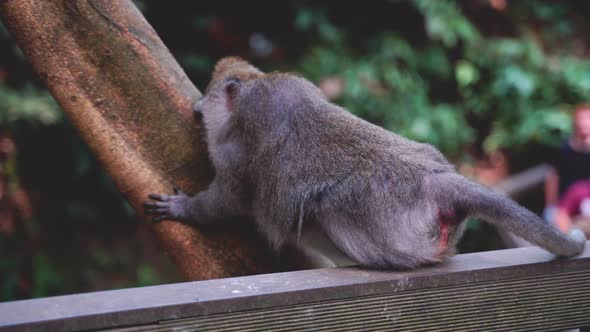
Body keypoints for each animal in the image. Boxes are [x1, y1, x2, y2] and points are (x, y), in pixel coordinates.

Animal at [143, 57, 588, 270]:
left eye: (209, 97)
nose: (199, 108)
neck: (258, 82)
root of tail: (436, 180)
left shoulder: (236, 145)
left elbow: (232, 198)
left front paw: (186, 209)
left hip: (387, 226)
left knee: (326, 206)